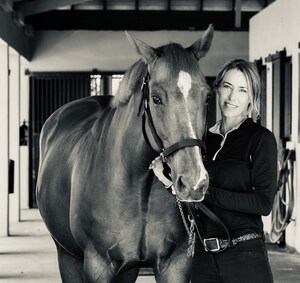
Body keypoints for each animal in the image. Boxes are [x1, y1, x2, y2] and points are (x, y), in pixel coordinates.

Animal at [37, 25, 213, 283]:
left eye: (208, 96)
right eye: (156, 98)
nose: (193, 182)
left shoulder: (175, 264)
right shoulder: (97, 266)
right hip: (67, 255)